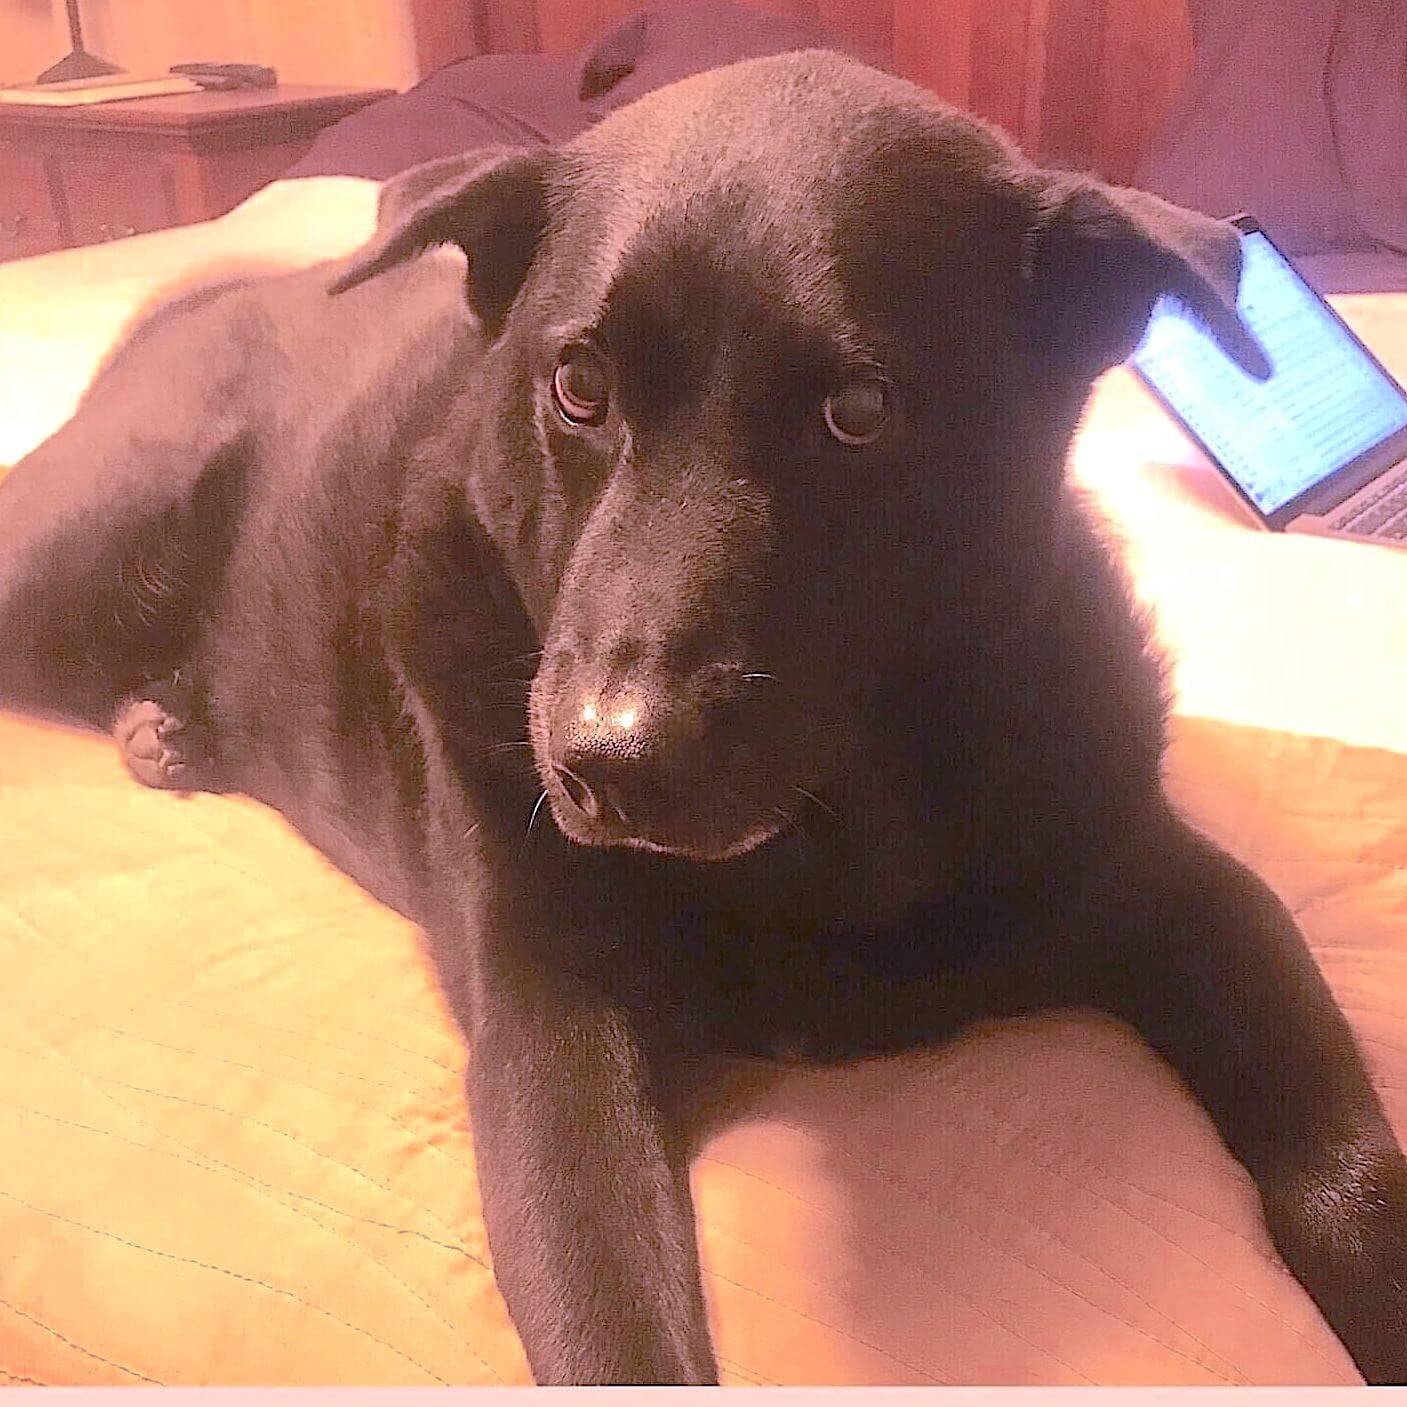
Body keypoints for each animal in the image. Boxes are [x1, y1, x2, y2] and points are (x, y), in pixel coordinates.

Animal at [2, 49, 1407, 1378]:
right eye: (577, 385)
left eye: (859, 413)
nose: (603, 767)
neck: (822, 843)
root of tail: (212, 294)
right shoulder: (550, 1025)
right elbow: (610, 1322)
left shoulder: (1179, 887)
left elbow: (1348, 1162)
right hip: (78, 553)